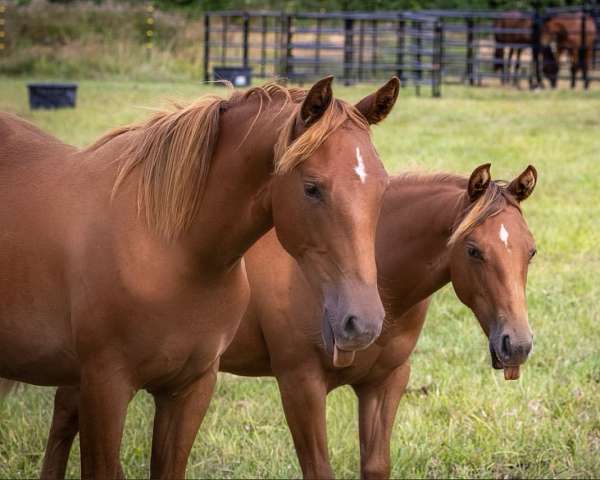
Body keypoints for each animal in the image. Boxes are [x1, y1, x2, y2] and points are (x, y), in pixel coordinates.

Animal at [1, 77, 404, 478]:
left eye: (383, 186)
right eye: (312, 187)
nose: (363, 323)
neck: (170, 252)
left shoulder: (190, 389)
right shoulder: (105, 387)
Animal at [43, 163, 540, 478]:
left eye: (530, 250)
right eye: (473, 250)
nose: (516, 344)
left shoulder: (386, 383)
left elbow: (375, 465)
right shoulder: (300, 383)